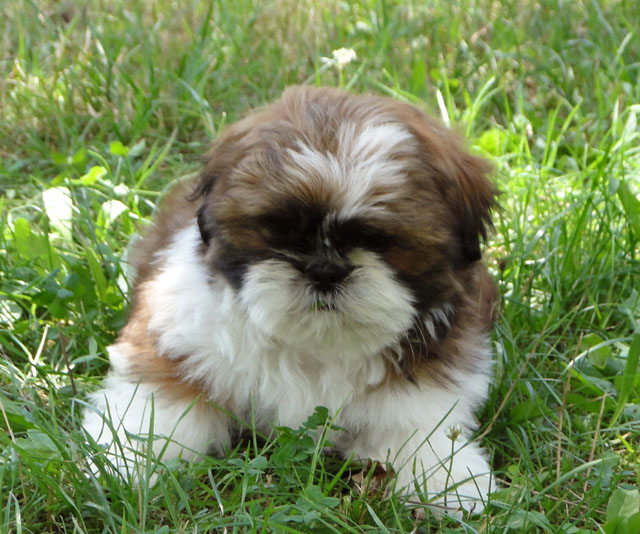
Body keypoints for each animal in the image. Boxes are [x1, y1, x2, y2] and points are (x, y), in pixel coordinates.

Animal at [83, 86, 498, 513]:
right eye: (280, 230)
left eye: (377, 240)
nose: (325, 270)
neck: (316, 344)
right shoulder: (179, 332)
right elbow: (162, 399)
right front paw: (126, 461)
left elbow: (416, 421)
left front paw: (445, 479)